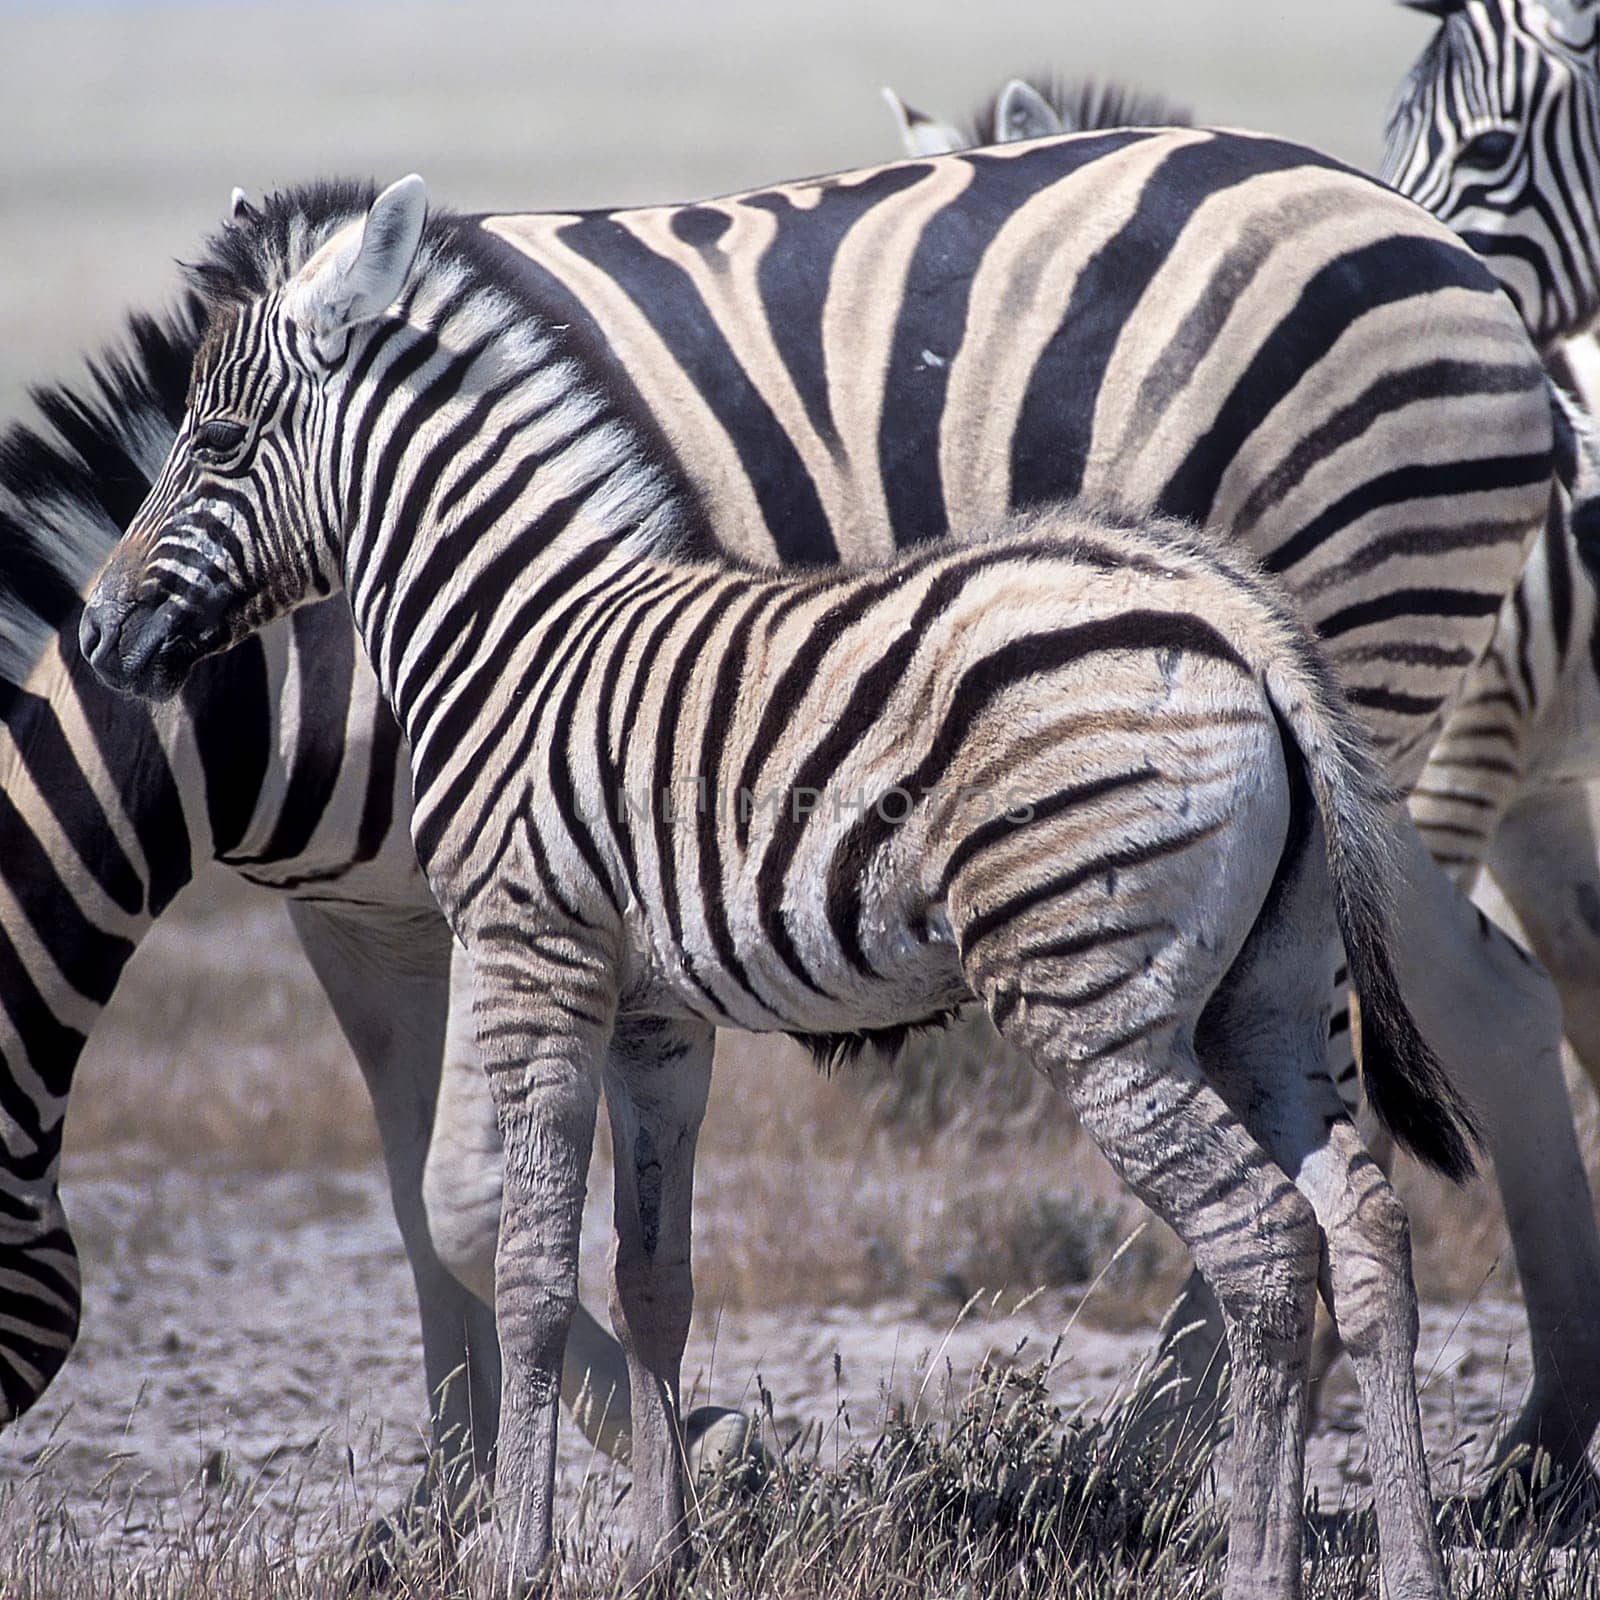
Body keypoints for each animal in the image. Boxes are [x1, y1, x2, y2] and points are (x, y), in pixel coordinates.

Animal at [78, 147, 1600, 1574]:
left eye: (216, 437)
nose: (100, 632)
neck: (519, 626)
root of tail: (1250, 636)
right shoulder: (656, 1006)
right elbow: (652, 1276)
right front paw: (660, 1549)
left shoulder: (529, 951)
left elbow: (525, 1270)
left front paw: (519, 1555)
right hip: (1267, 991)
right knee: (1363, 1224)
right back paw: (1411, 1554)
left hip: (1099, 994)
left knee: (1261, 1243)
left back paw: (1250, 1558)